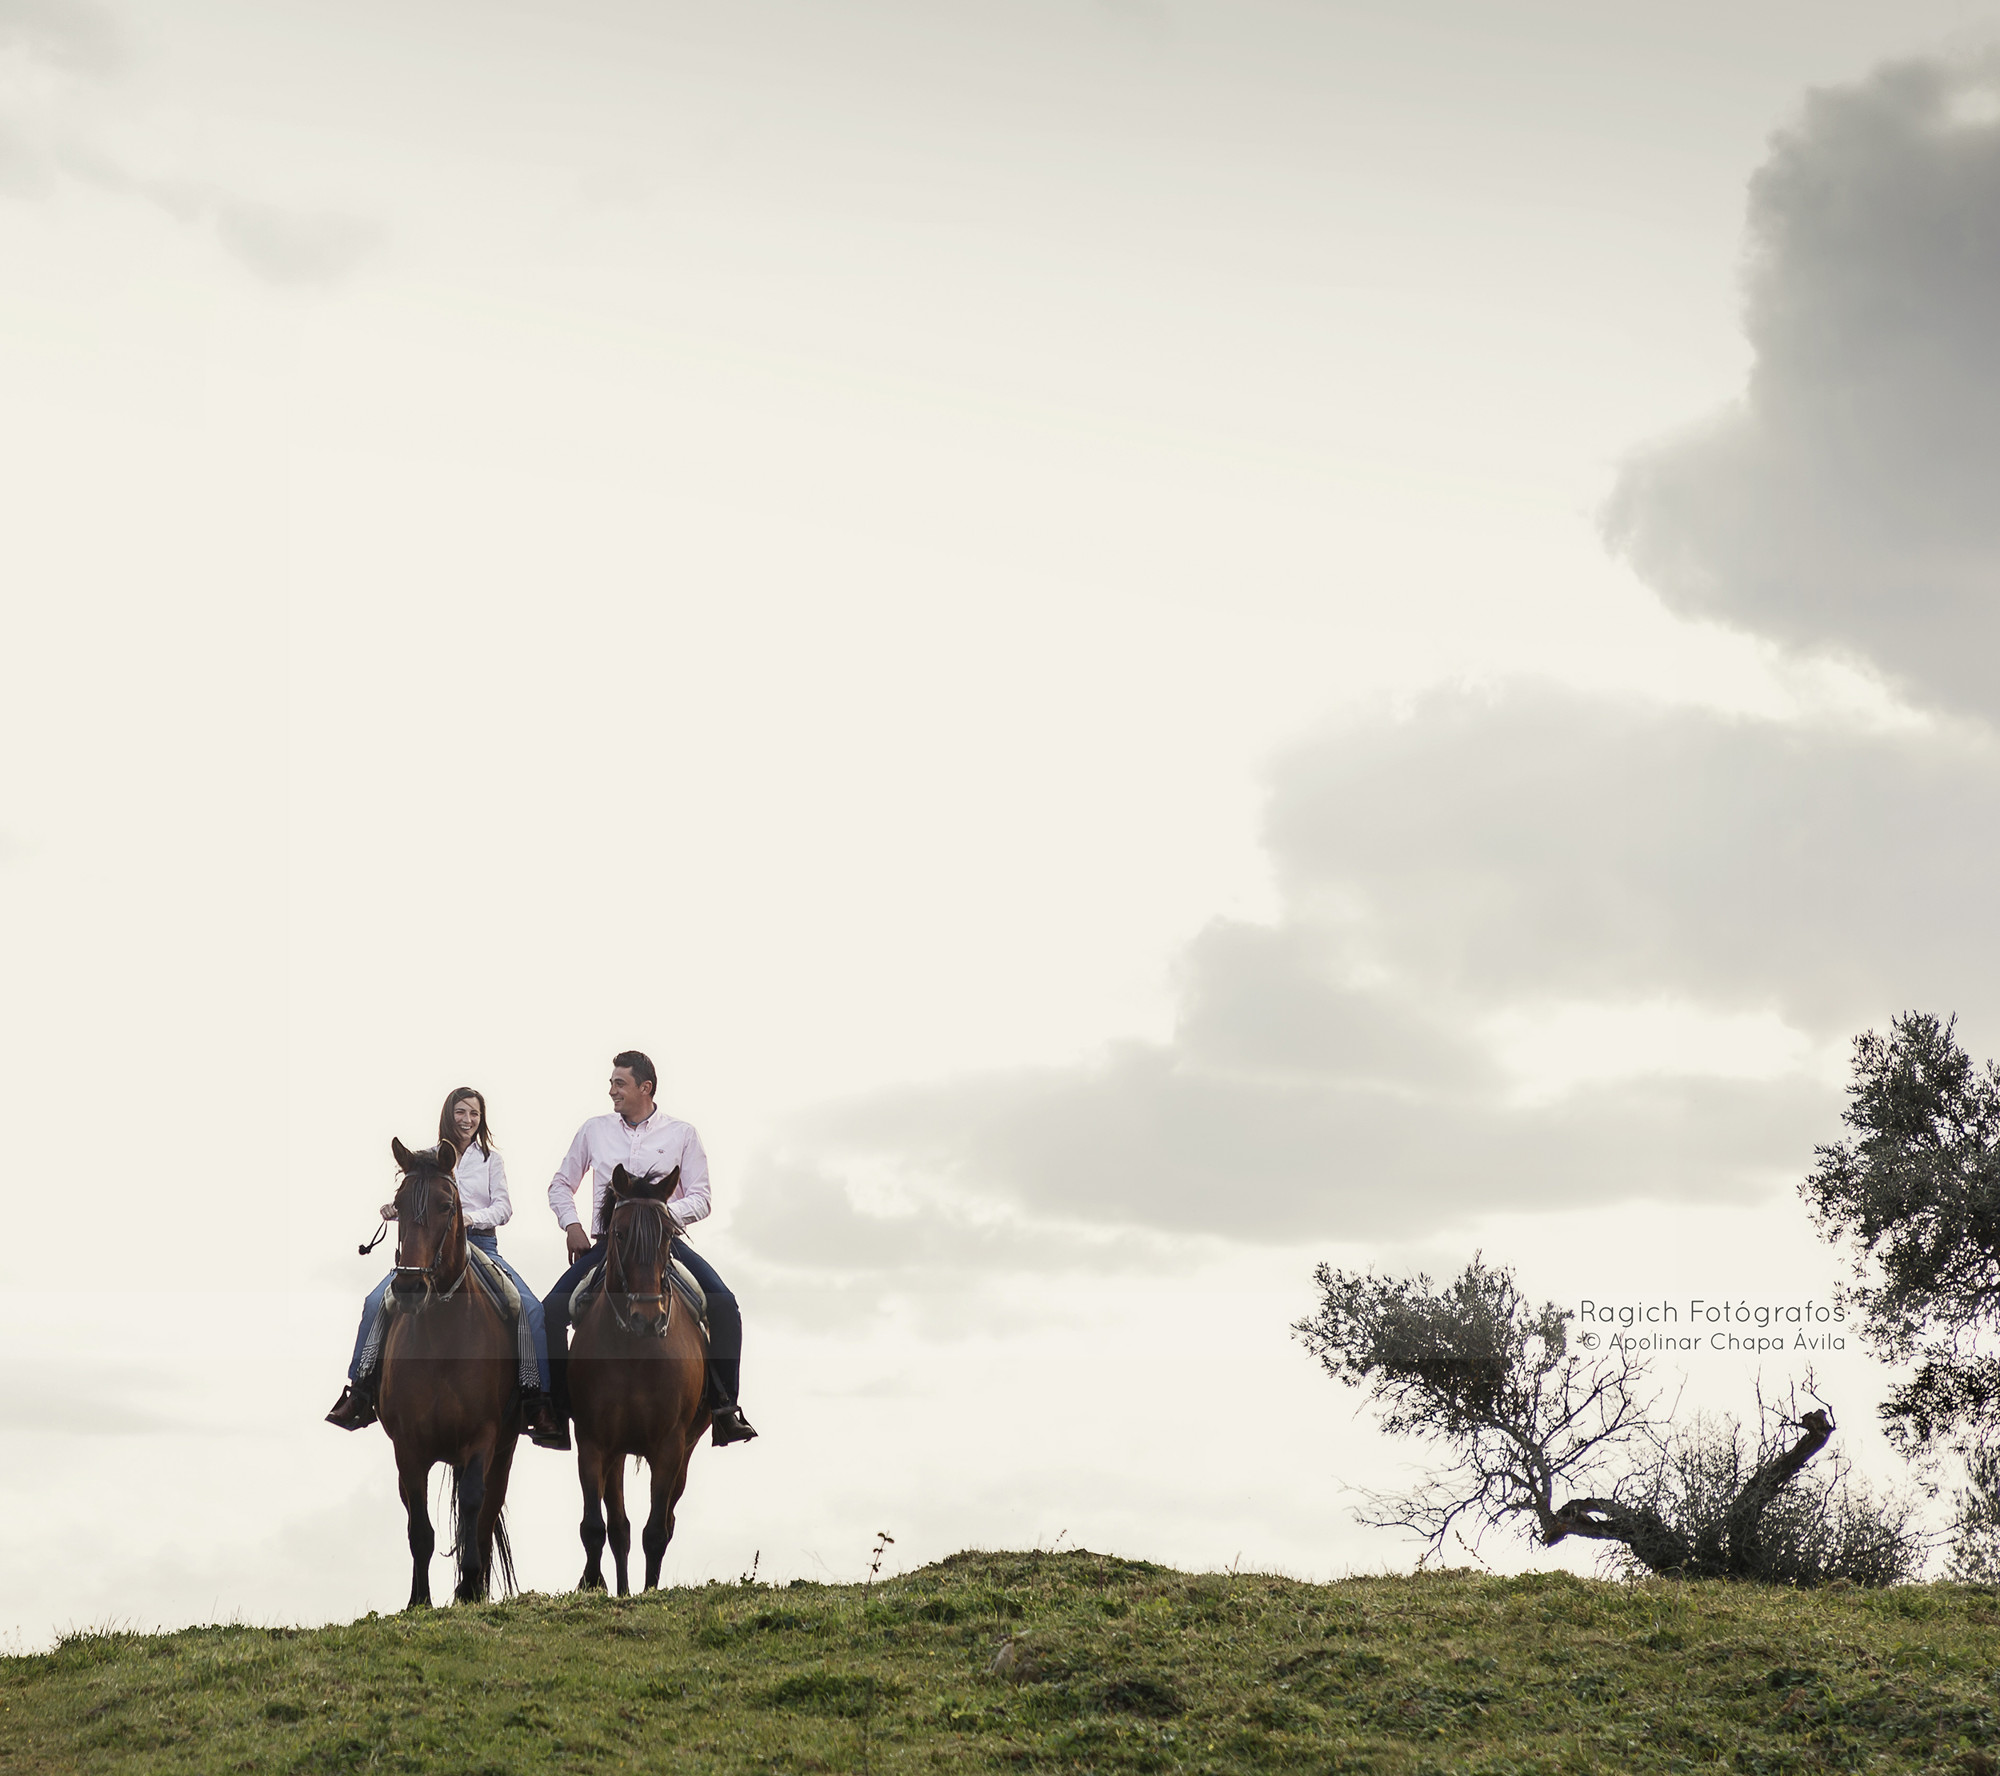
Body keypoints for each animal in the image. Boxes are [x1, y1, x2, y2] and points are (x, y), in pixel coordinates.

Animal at [374, 1136, 516, 1608]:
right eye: (398, 1205)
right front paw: (418, 1599)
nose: (409, 1286)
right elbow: (419, 1526)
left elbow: (472, 1507)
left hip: (504, 1451)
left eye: (446, 1205)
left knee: (486, 1516)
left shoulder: (483, 1437)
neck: (442, 1340)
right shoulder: (408, 1448)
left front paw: (469, 1585)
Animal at [572, 1168, 712, 1592]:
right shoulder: (594, 1443)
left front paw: (649, 1591)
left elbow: (655, 1532)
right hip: (616, 1453)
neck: (634, 1351)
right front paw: (594, 1585)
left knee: (665, 1521)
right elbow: (595, 1527)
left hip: (686, 1450)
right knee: (619, 1528)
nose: (646, 1318)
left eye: (668, 1234)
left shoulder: (670, 1447)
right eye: (619, 1233)